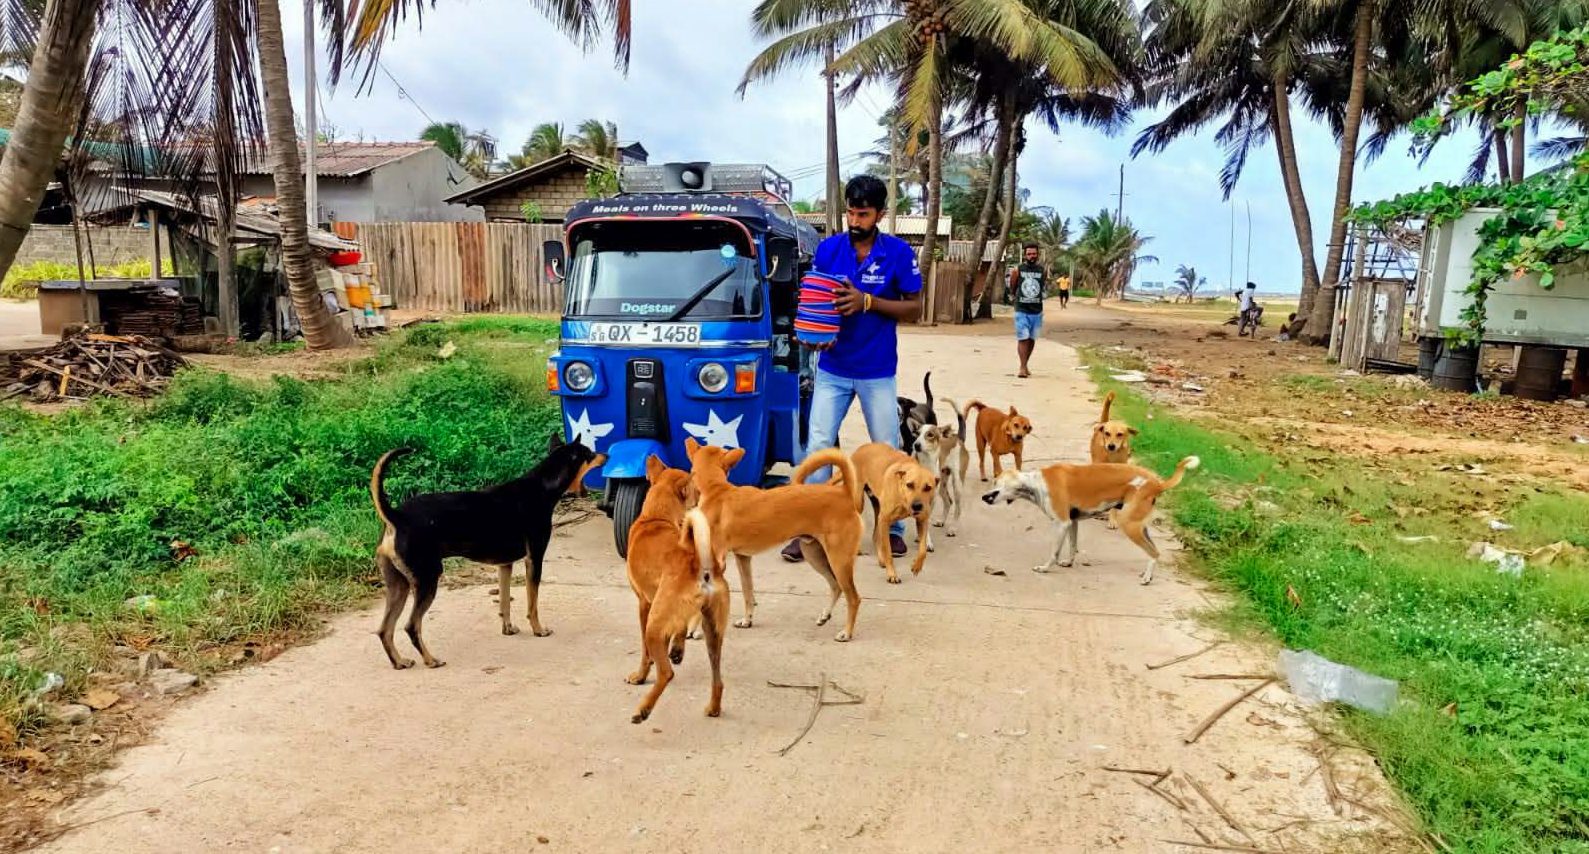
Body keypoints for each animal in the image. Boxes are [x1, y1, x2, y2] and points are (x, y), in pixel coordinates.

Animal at [368, 432, 603, 664]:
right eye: (590, 454)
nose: (607, 455)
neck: (542, 487)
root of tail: (397, 517)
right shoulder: (534, 559)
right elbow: (532, 603)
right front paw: (538, 630)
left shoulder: (505, 565)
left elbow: (505, 602)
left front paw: (508, 629)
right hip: (427, 580)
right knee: (411, 626)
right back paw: (431, 660)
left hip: (399, 586)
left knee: (384, 630)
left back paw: (400, 662)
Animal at [619, 454, 727, 722]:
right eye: (696, 490)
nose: (700, 497)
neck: (655, 518)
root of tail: (699, 562)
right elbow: (680, 628)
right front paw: (677, 649)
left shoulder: (644, 604)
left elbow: (645, 654)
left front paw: (640, 676)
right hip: (713, 631)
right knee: (718, 680)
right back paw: (713, 707)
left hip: (654, 625)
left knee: (666, 673)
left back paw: (644, 709)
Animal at [680, 438, 864, 639]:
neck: (716, 490)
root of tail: (844, 493)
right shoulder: (743, 558)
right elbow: (748, 592)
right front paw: (747, 620)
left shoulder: (715, 563)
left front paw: (693, 629)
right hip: (814, 554)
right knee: (836, 586)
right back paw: (825, 615)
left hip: (839, 560)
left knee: (853, 597)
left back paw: (846, 632)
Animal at [851, 442, 934, 582]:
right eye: (910, 485)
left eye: (928, 487)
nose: (917, 506)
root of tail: (861, 448)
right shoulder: (885, 520)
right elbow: (888, 551)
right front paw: (892, 574)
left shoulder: (922, 520)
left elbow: (923, 550)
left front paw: (916, 566)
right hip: (859, 503)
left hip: (877, 508)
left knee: (875, 536)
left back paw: (881, 559)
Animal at [972, 454, 1194, 582]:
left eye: (995, 481)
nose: (983, 497)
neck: (1035, 483)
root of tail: (1157, 483)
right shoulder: (1072, 522)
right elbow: (1072, 546)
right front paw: (1069, 563)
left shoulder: (1061, 523)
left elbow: (1054, 552)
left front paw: (1045, 568)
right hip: (1139, 526)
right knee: (1154, 551)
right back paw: (1148, 573)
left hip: (1129, 525)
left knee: (1153, 552)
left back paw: (1147, 578)